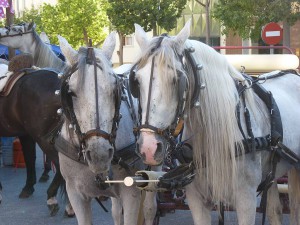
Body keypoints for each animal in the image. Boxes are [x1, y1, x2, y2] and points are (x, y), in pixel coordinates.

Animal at [56, 34, 157, 225]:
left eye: (114, 89)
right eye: (70, 93)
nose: (99, 155)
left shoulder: (131, 192)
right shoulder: (75, 194)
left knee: (149, 209)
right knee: (116, 211)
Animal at [131, 20, 300, 224]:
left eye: (177, 79)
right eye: (137, 81)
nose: (148, 147)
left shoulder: (246, 200)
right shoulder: (196, 199)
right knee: (275, 210)